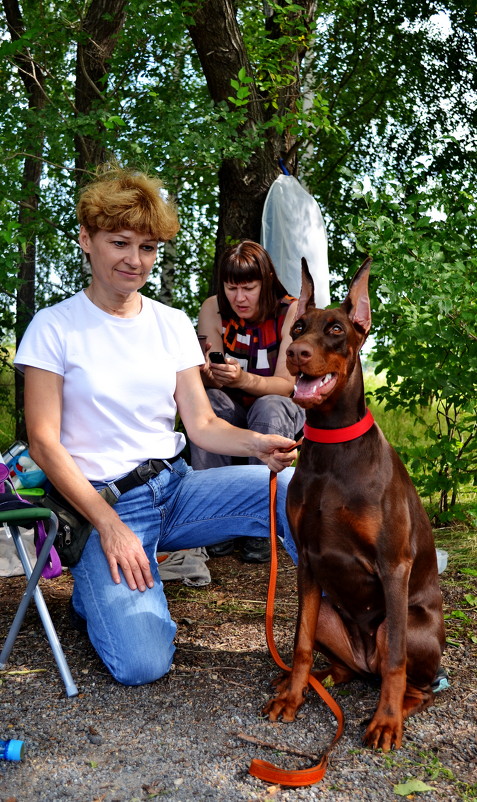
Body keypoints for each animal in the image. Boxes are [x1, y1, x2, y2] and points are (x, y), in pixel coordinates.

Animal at [264, 256, 446, 752]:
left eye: (335, 330)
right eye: (298, 326)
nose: (296, 353)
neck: (332, 447)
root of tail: (364, 661)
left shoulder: (394, 564)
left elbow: (397, 662)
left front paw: (385, 723)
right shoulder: (308, 560)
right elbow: (300, 643)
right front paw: (292, 696)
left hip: (405, 625)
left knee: (414, 682)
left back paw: (392, 710)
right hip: (330, 611)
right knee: (343, 664)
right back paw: (316, 680)